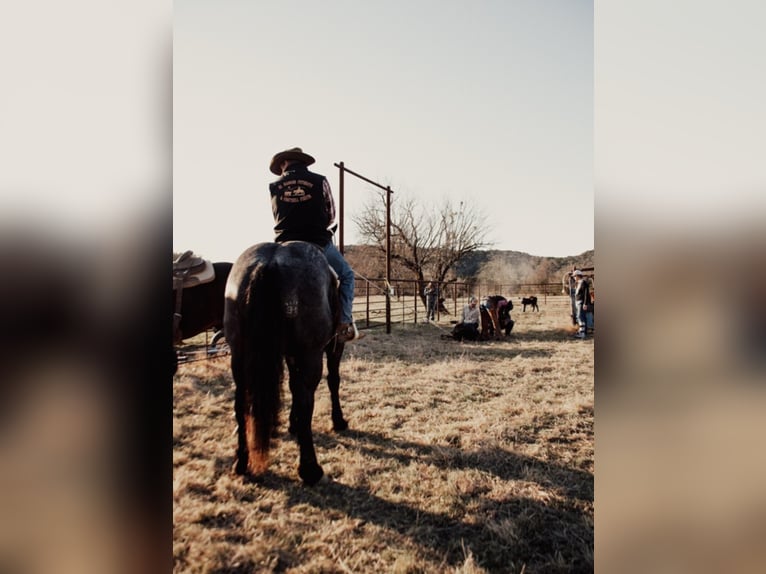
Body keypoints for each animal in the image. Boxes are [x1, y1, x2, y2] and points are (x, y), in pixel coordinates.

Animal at [224, 241, 350, 488]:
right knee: (305, 401)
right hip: (310, 356)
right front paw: (338, 420)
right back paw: (310, 469)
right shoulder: (333, 347)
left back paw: (242, 462)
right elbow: (333, 380)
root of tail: (270, 262)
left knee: (241, 403)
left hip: (240, 357)